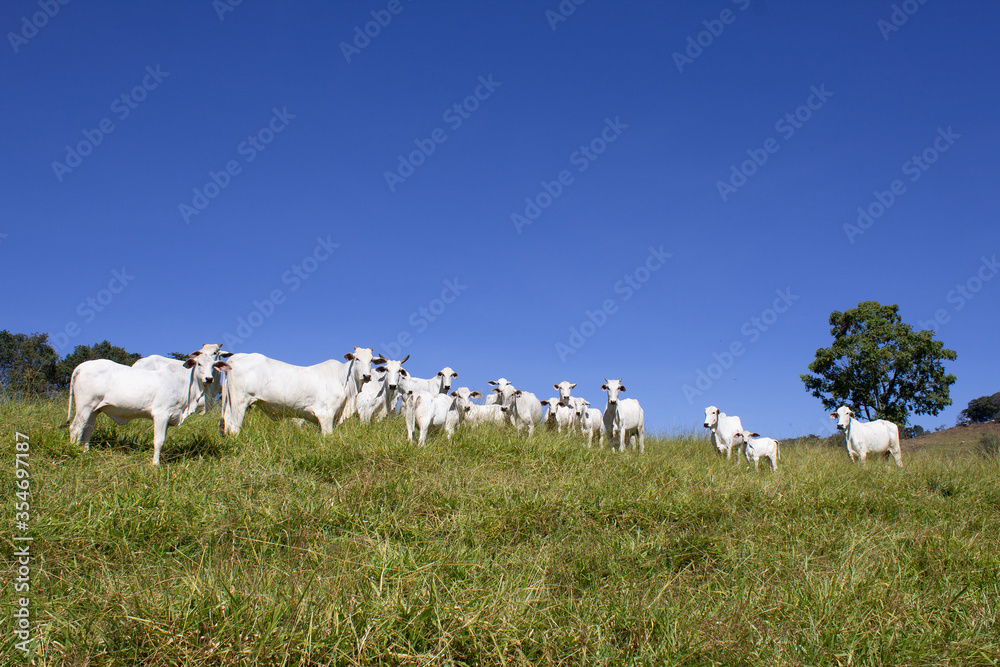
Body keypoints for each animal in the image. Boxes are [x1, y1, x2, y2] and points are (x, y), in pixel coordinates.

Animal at [64, 349, 228, 465]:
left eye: (213, 366)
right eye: (199, 364)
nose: (209, 379)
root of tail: (82, 365)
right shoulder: (161, 414)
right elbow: (159, 440)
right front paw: (156, 464)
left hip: (94, 409)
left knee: (87, 430)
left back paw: (86, 452)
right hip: (85, 406)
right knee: (76, 427)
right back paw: (74, 451)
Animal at [219, 347, 385, 435]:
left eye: (371, 360)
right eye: (357, 359)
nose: (367, 376)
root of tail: (233, 358)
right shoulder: (326, 414)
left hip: (229, 402)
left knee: (226, 423)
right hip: (240, 402)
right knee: (234, 426)